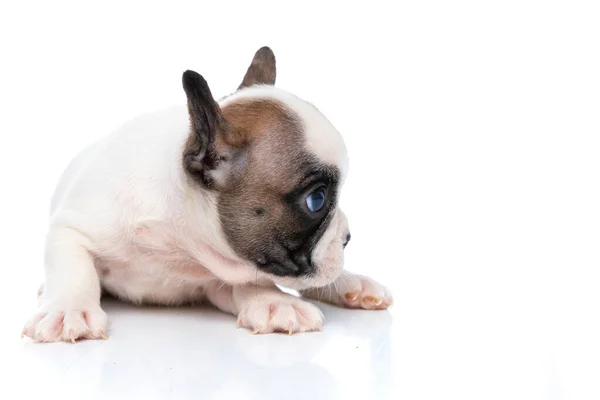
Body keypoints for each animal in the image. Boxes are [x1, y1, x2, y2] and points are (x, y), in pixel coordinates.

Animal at [22, 46, 394, 340]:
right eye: (316, 200)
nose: (347, 237)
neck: (174, 238)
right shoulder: (71, 229)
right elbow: (74, 267)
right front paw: (68, 310)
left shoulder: (216, 280)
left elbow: (251, 282)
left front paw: (274, 302)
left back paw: (354, 286)